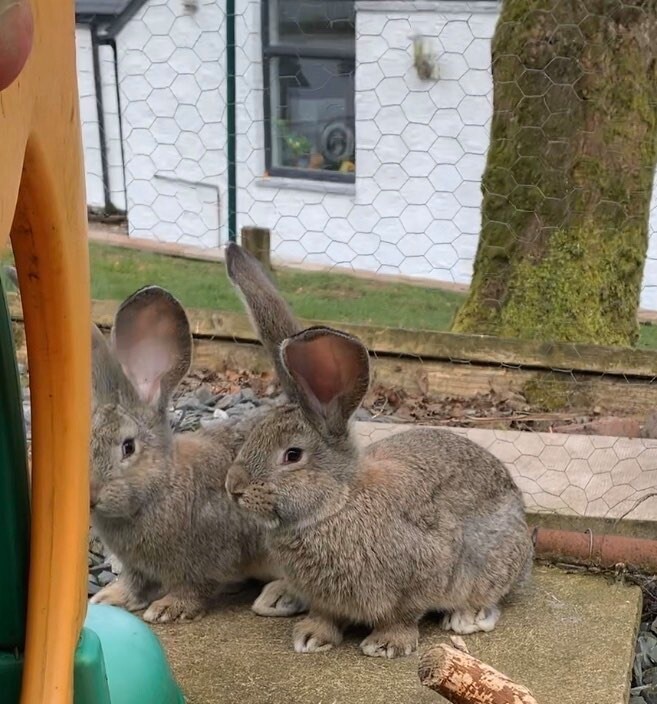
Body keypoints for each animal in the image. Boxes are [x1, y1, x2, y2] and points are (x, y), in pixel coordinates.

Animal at [89, 283, 306, 623]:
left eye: (128, 447)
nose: (91, 493)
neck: (162, 485)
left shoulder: (208, 557)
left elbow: (193, 587)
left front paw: (167, 609)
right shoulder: (137, 569)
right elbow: (134, 583)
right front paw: (109, 598)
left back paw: (277, 597)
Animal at [223, 244, 533, 658]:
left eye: (292, 455)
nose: (233, 487)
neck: (337, 503)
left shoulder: (427, 568)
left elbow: (403, 615)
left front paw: (387, 644)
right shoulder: (327, 598)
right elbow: (325, 615)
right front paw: (311, 636)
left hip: (493, 559)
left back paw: (468, 617)